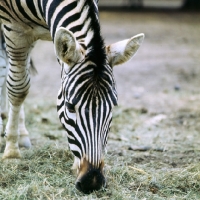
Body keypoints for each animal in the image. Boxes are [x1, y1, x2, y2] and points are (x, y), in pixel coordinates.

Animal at [0, 0, 144, 194]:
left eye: (113, 106)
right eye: (69, 106)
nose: (92, 181)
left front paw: (76, 164)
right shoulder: (16, 30)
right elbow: (18, 88)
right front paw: (11, 152)